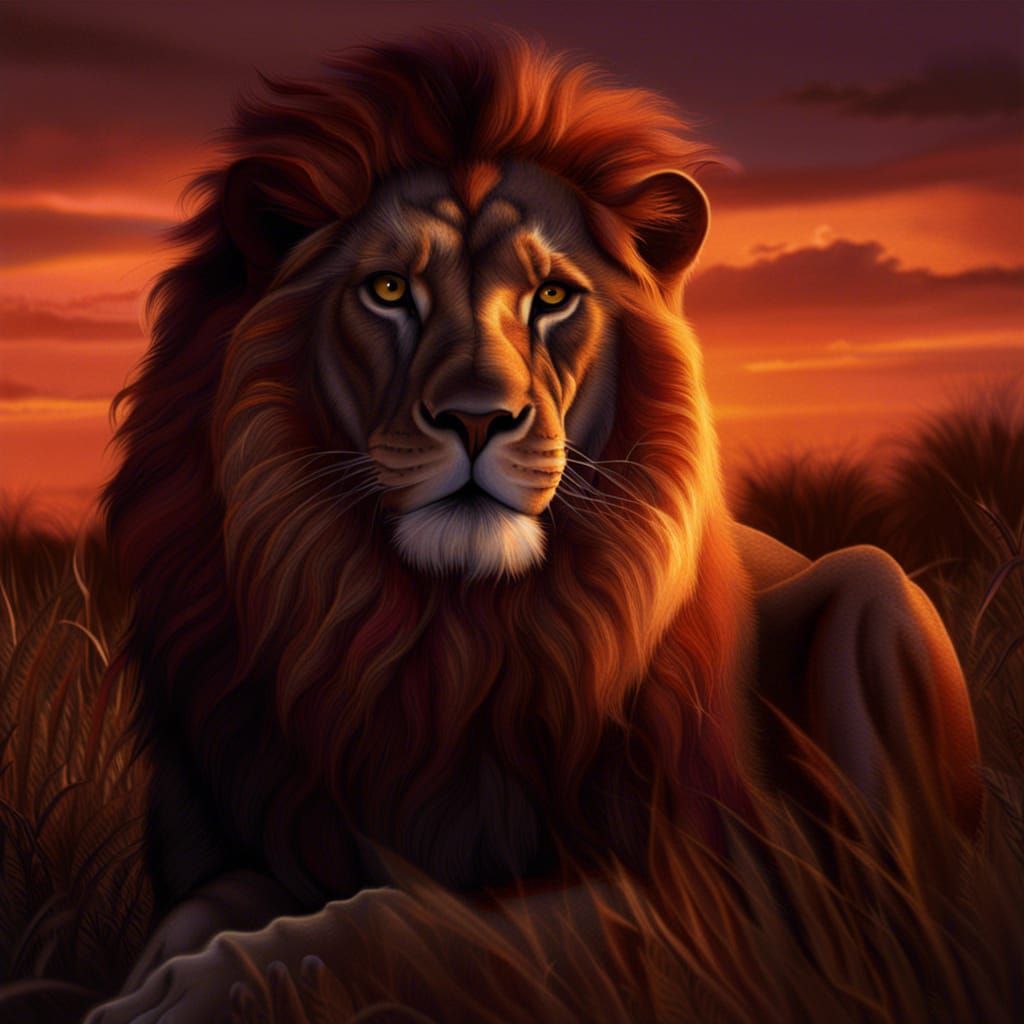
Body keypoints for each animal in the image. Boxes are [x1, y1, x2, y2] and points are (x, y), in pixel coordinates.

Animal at [87, 31, 981, 1022]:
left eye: (552, 297)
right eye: (388, 289)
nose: (478, 417)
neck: (443, 637)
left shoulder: (723, 883)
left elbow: (436, 923)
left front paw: (204, 986)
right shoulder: (237, 832)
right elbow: (204, 909)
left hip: (878, 591)